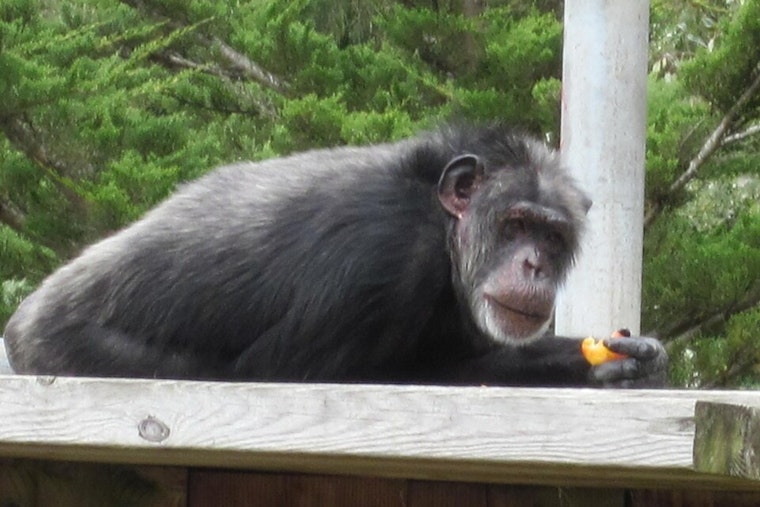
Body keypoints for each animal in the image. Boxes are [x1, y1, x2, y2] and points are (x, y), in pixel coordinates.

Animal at [3, 123, 667, 387]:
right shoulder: (375, 259)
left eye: (551, 237)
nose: (533, 262)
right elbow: (287, 371)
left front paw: (617, 360)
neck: (440, 229)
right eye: (516, 224)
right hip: (65, 347)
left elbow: (458, 366)